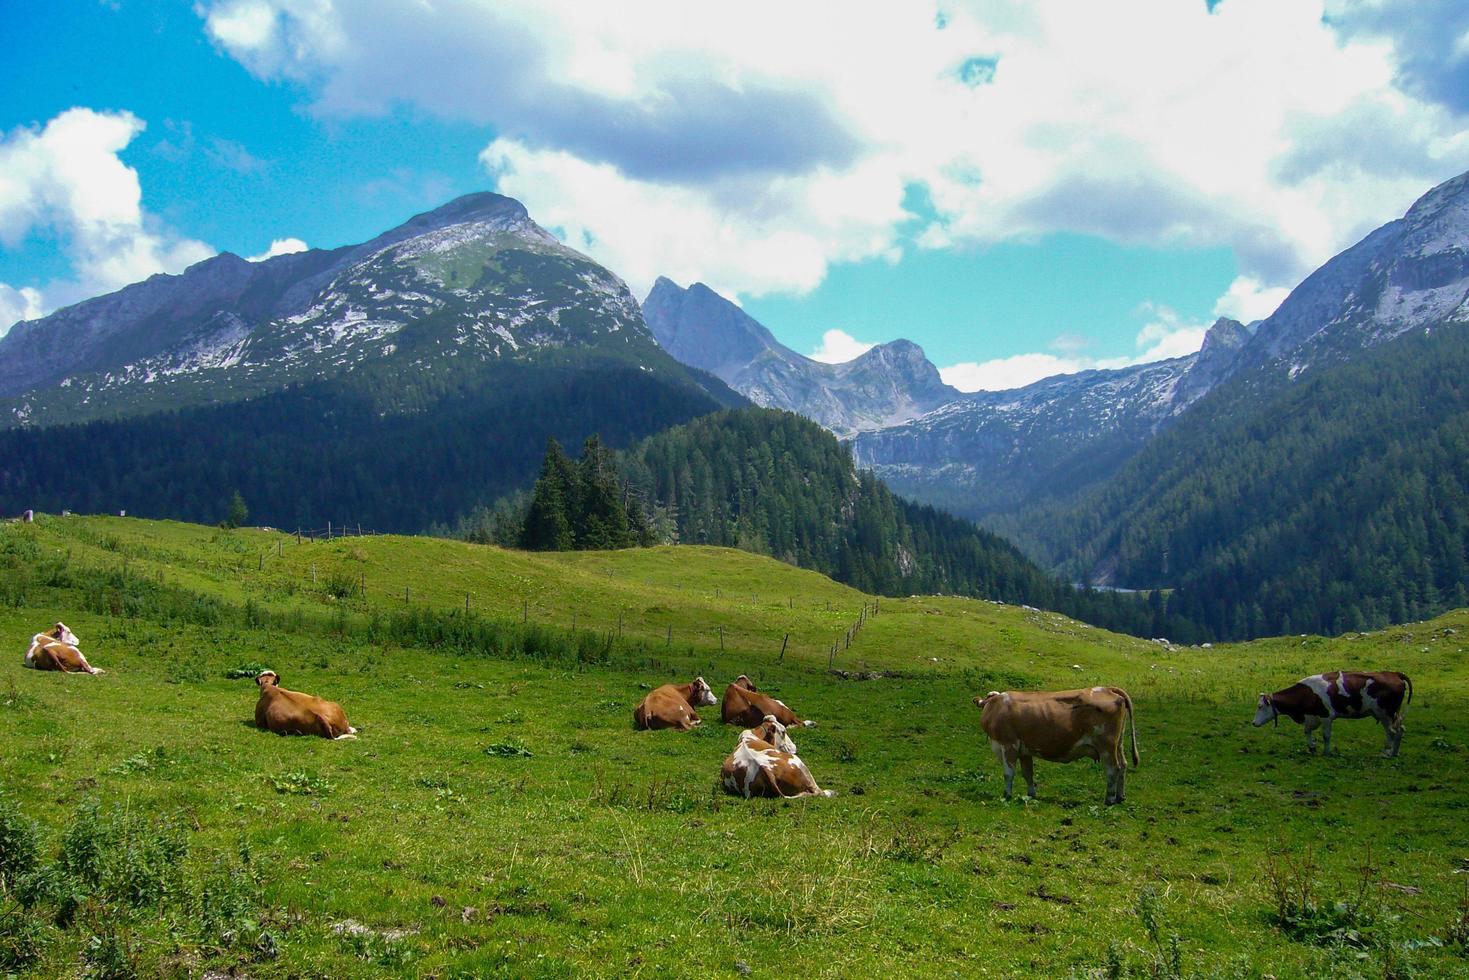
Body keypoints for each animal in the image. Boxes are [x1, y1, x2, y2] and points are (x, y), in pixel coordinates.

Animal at [981, 687, 1139, 811]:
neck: (996, 707)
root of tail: (1106, 688)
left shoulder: (1008, 745)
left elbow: (1009, 773)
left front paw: (1007, 795)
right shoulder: (1025, 751)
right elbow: (1028, 774)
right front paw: (1031, 795)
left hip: (1107, 747)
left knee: (1113, 769)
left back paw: (1110, 799)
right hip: (1118, 744)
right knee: (1123, 765)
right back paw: (1120, 797)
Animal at [1251, 669, 1410, 764]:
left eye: (1260, 706)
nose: (1253, 723)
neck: (1305, 695)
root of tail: (1394, 674)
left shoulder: (1326, 716)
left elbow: (1326, 736)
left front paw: (1326, 752)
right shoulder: (1311, 716)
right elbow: (1307, 731)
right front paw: (1312, 747)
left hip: (1386, 713)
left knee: (1392, 732)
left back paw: (1387, 753)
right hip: (1392, 714)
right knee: (1400, 730)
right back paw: (1394, 753)